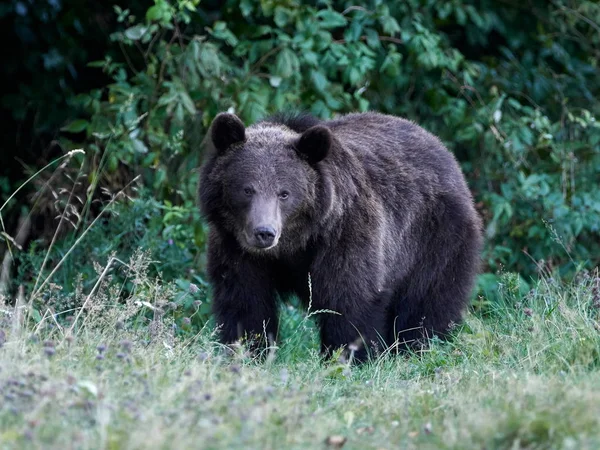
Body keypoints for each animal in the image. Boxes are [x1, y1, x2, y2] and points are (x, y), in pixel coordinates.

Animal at [200, 111, 482, 362]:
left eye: (284, 193)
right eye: (247, 189)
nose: (265, 233)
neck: (297, 243)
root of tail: (443, 150)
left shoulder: (345, 235)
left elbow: (349, 299)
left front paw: (349, 357)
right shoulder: (236, 248)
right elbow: (245, 302)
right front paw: (248, 352)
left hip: (435, 238)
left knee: (426, 302)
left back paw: (418, 349)